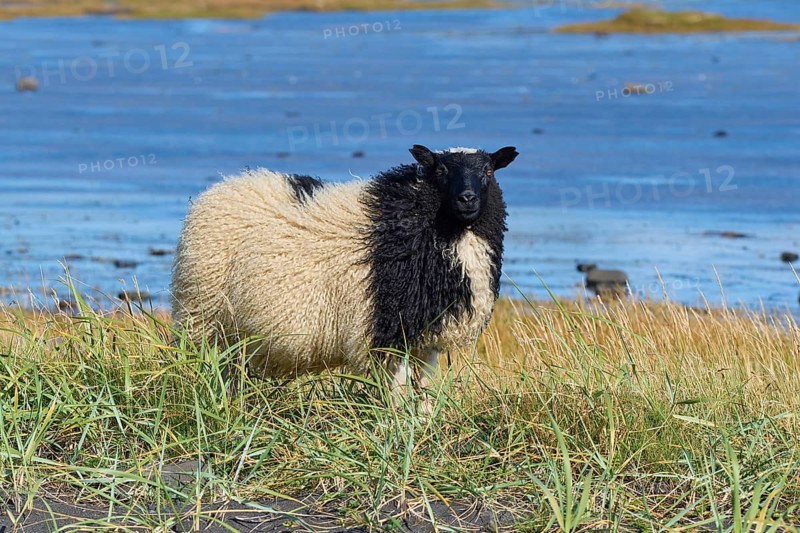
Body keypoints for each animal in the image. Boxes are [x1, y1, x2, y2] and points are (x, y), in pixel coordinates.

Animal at [171, 145, 518, 398]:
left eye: (488, 171)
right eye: (442, 172)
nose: (467, 199)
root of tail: (219, 188)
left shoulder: (425, 334)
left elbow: (424, 391)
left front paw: (424, 427)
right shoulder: (386, 330)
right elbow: (398, 392)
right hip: (203, 314)